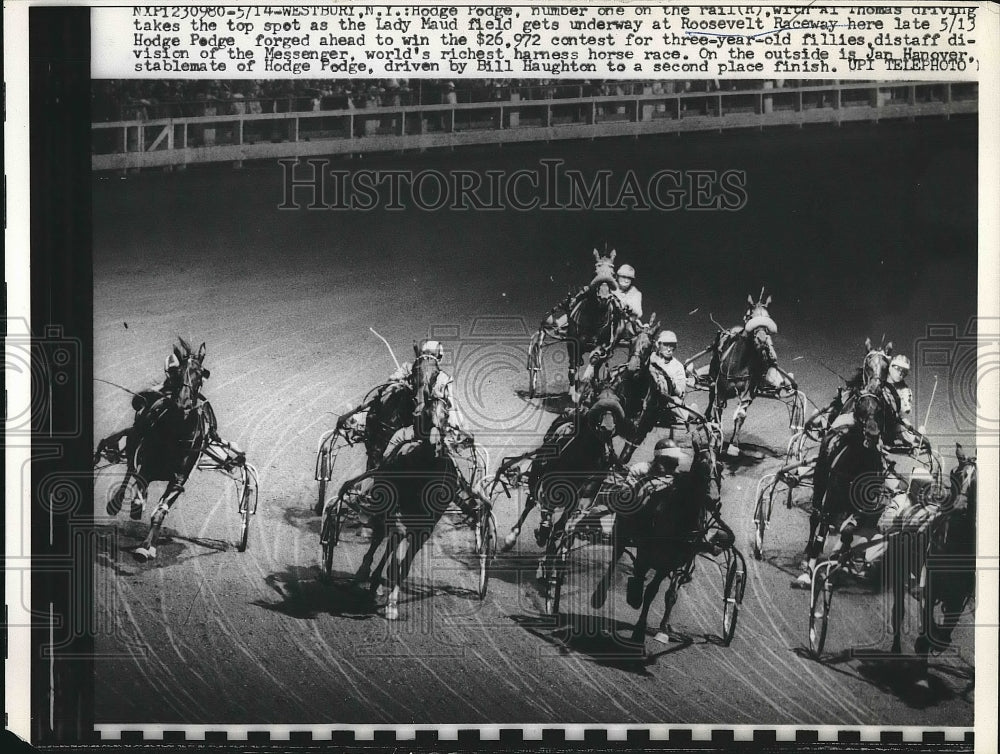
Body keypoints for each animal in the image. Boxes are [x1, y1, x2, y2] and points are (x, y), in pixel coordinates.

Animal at [528, 247, 628, 400]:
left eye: (612, 273)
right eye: (595, 272)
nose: (604, 297)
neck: (594, 318)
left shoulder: (605, 344)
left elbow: (595, 359)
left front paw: (589, 381)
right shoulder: (573, 343)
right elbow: (573, 367)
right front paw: (574, 392)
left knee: (597, 366)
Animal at [688, 290, 804, 456]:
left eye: (768, 317)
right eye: (750, 317)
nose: (762, 339)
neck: (738, 364)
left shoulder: (748, 392)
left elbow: (740, 415)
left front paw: (733, 445)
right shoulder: (720, 390)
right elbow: (718, 410)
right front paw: (716, 438)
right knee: (711, 400)